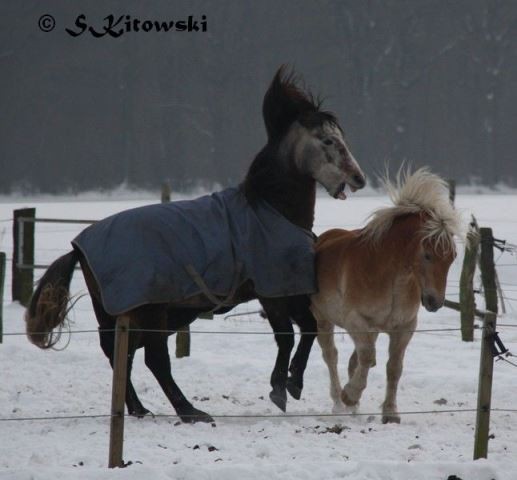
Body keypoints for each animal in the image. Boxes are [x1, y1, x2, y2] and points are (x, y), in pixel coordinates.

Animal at [24, 66, 362, 424]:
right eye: (328, 140)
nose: (359, 179)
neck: (270, 209)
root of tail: (78, 246)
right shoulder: (273, 293)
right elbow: (288, 337)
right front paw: (282, 388)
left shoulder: (289, 292)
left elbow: (306, 330)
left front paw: (290, 383)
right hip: (152, 311)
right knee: (153, 360)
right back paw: (189, 411)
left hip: (127, 316)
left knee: (122, 355)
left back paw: (139, 409)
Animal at [308, 169, 462, 424]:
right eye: (427, 255)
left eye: (452, 256)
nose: (434, 302)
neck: (390, 278)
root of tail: (323, 239)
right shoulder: (356, 320)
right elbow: (367, 357)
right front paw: (350, 394)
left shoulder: (404, 327)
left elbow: (393, 367)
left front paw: (390, 413)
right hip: (324, 320)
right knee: (331, 356)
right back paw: (340, 403)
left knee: (354, 360)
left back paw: (353, 407)